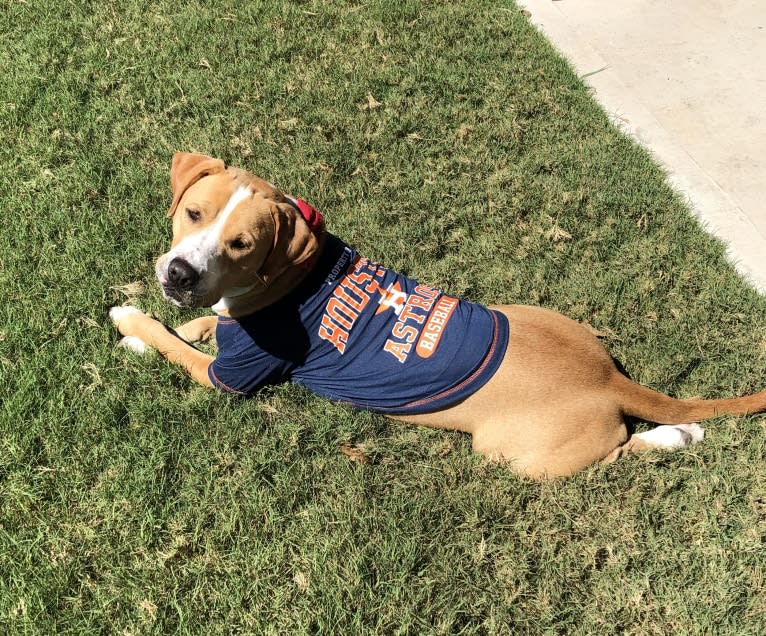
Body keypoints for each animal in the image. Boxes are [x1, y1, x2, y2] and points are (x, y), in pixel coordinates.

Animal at [109, 153, 766, 476]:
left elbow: (176, 345)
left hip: (517, 455)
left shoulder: (229, 377)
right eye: (192, 212)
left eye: (242, 244)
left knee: (617, 457)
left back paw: (672, 439)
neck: (293, 275)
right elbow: (200, 326)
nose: (179, 273)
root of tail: (607, 378)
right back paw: (681, 432)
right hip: (530, 313)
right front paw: (182, 319)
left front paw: (132, 323)